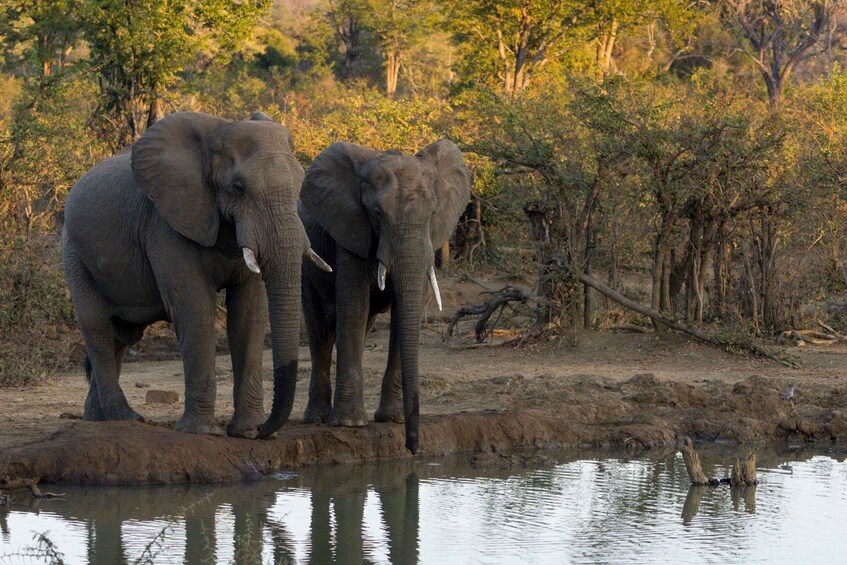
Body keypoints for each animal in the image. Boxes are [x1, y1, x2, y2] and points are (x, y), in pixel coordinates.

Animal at [61, 111, 330, 438]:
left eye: (300, 185)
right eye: (238, 188)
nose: (264, 430)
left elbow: (249, 312)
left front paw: (246, 431)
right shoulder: (166, 224)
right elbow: (194, 307)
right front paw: (203, 431)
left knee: (122, 334)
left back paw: (98, 419)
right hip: (74, 254)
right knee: (97, 327)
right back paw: (125, 418)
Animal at [298, 139, 471, 453]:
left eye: (432, 213)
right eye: (377, 214)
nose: (412, 447)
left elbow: (404, 313)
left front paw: (393, 419)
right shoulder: (351, 231)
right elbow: (353, 306)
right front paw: (349, 424)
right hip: (306, 261)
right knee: (320, 331)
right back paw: (317, 419)